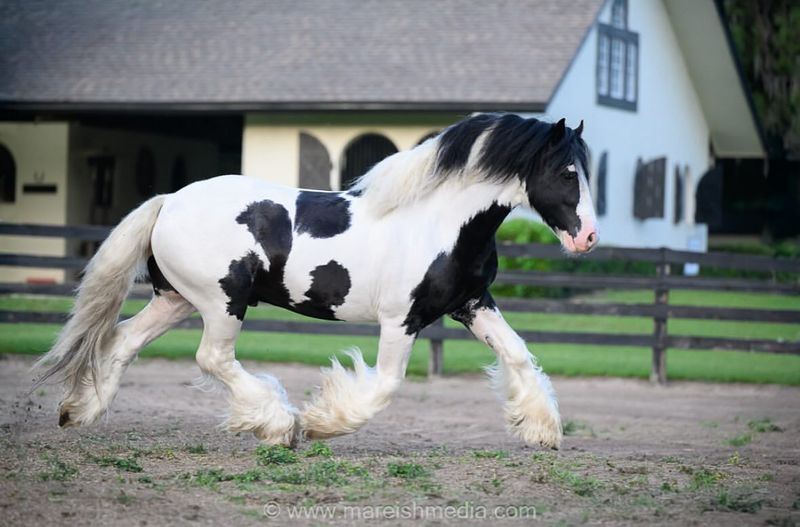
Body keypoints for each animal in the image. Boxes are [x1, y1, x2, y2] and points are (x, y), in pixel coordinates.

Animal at [34, 114, 596, 450]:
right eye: (567, 173)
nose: (588, 237)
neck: (438, 223)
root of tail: (169, 200)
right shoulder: (402, 319)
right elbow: (386, 384)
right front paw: (322, 422)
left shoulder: (473, 304)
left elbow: (517, 353)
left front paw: (541, 429)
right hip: (222, 301)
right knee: (212, 358)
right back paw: (279, 424)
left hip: (176, 299)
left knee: (122, 340)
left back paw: (79, 412)